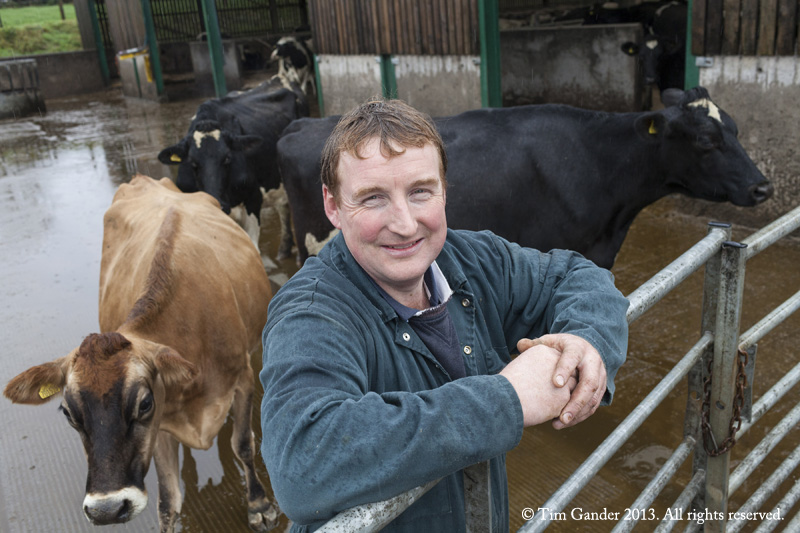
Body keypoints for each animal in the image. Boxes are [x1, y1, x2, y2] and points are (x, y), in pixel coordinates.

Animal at [3, 176, 278, 532]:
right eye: (67, 413)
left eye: (144, 403)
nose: (106, 509)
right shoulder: (161, 424)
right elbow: (168, 500)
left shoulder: (242, 377)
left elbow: (243, 444)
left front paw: (258, 503)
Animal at [156, 76, 306, 262]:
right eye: (193, 163)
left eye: (227, 158)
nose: (218, 205)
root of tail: (279, 78)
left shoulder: (253, 200)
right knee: (283, 206)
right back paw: (284, 250)